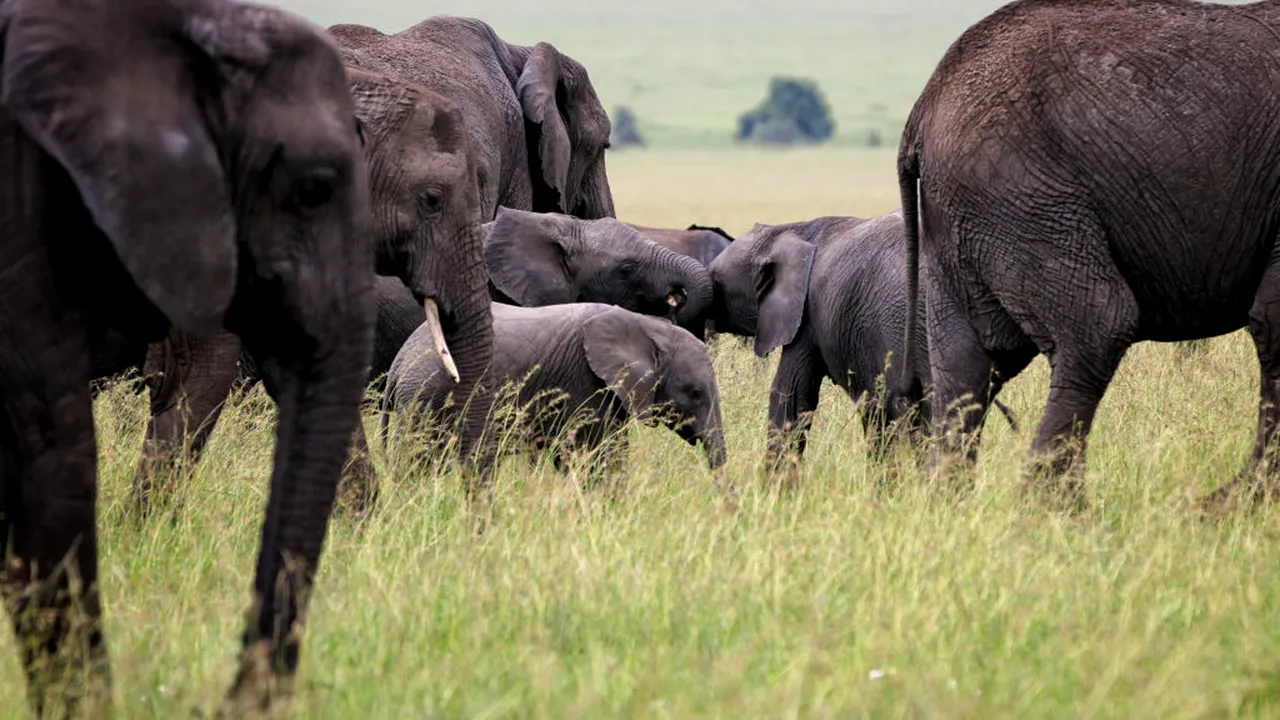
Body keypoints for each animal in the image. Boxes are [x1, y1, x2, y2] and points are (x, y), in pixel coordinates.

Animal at [382, 302, 728, 474]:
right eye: (695, 393)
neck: (649, 325)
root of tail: (399, 361)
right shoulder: (585, 382)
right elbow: (595, 456)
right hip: (426, 396)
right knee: (420, 459)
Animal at [896, 0, 1280, 510]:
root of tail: (924, 108)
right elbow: (1275, 321)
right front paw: (1241, 509)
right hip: (1022, 194)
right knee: (1098, 325)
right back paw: (1061, 513)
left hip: (962, 216)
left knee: (966, 364)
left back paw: (949, 507)